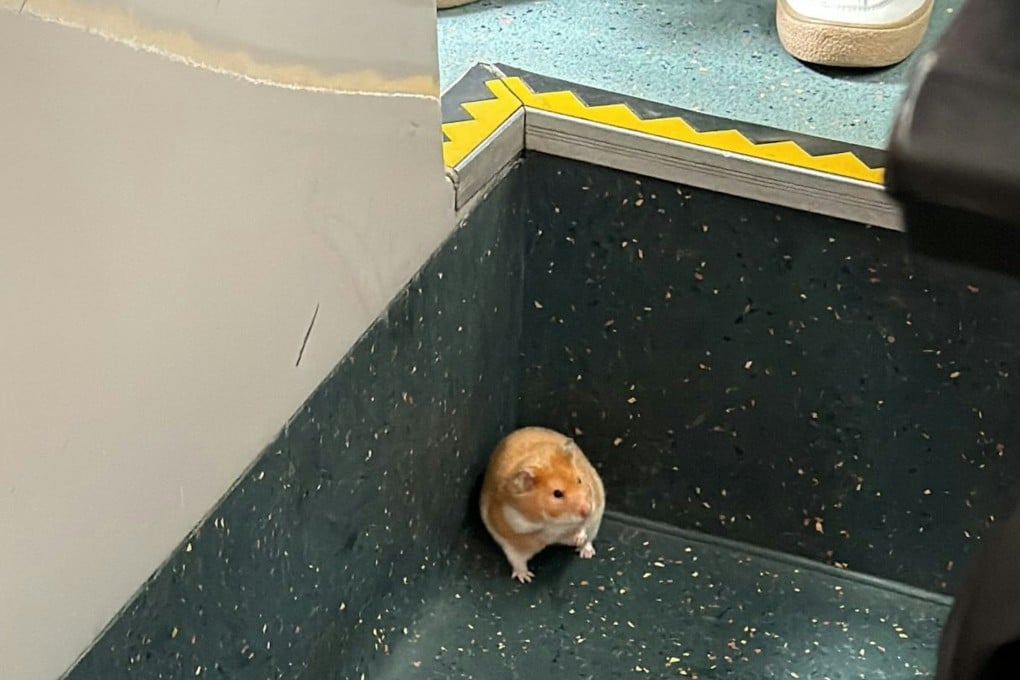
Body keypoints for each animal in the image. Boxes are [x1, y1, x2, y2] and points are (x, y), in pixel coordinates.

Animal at [479, 426, 606, 583]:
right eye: (557, 493)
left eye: (579, 480)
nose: (588, 510)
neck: (552, 522)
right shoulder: (510, 534)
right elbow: (519, 555)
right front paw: (526, 578)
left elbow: (581, 527)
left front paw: (578, 538)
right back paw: (525, 577)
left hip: (596, 522)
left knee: (589, 538)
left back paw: (585, 552)